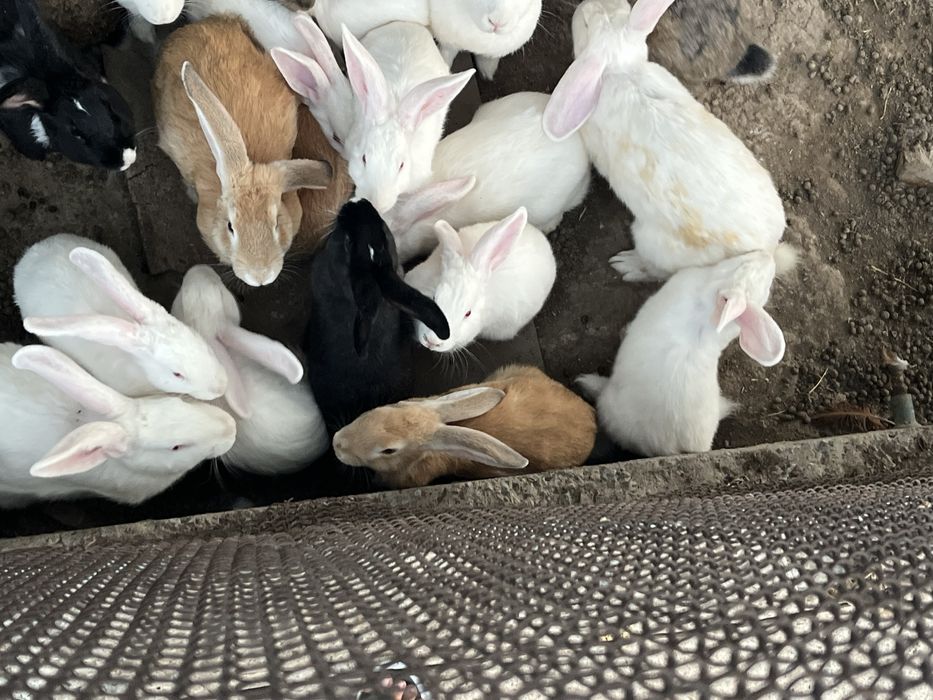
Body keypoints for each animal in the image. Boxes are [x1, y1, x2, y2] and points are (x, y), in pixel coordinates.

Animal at [576, 248, 792, 457]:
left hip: (609, 407)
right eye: (743, 264)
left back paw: (587, 382)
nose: (767, 255)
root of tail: (670, 449)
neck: (707, 309)